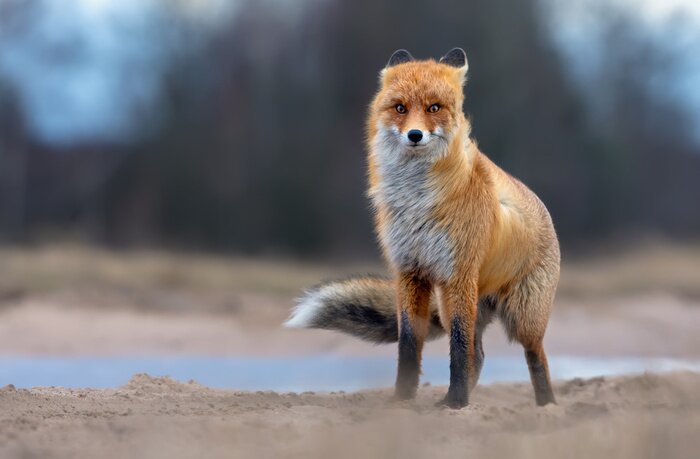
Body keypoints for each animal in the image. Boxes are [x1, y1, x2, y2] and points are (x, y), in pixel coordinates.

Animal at [285, 48, 560, 409]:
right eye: (400, 108)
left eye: (434, 108)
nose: (414, 135)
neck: (416, 203)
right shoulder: (409, 272)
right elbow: (408, 346)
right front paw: (404, 400)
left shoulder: (458, 275)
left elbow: (457, 348)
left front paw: (456, 403)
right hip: (454, 304)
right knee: (479, 356)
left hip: (521, 317)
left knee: (535, 356)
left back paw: (546, 405)